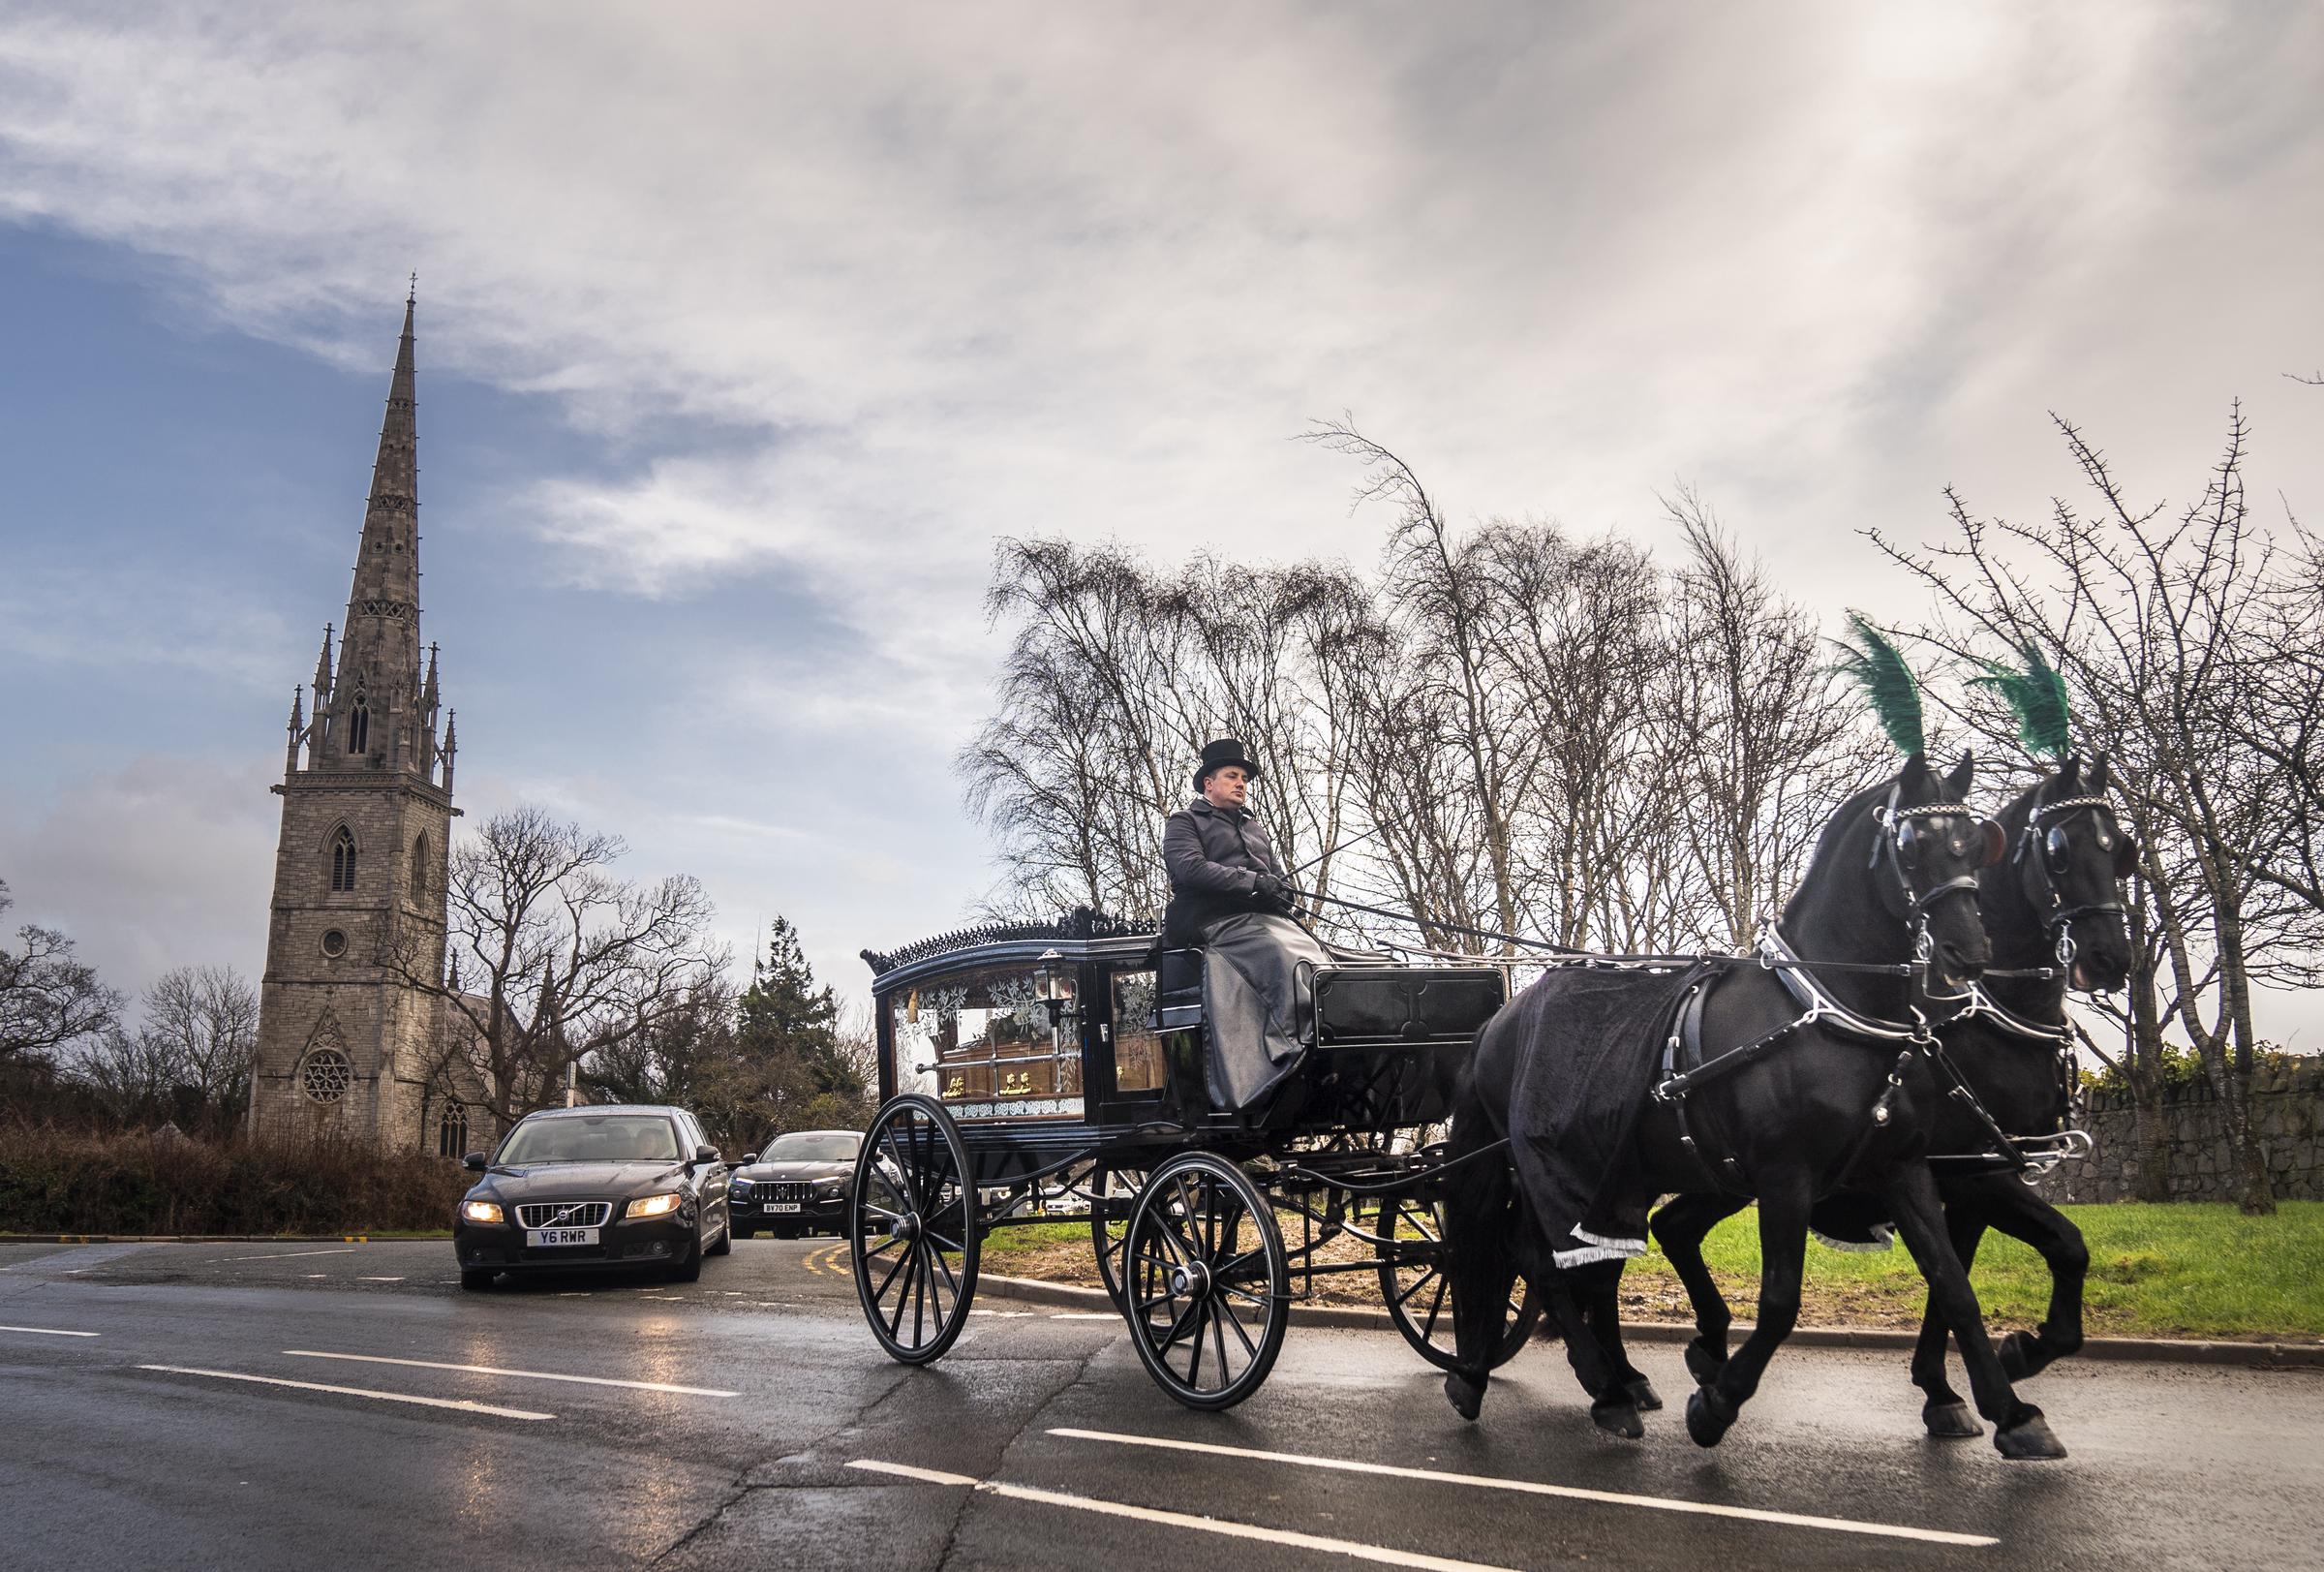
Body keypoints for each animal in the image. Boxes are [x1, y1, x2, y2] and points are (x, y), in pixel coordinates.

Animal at [1431, 753, 2072, 1460]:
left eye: (1975, 845)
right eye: (1911, 844)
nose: (1969, 952)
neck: (1828, 1013)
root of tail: (1499, 1020)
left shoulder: (1905, 1167)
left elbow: (1956, 1285)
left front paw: (2011, 1409)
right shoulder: (1791, 1175)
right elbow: (1781, 1301)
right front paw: (1717, 1404)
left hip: (1617, 1175)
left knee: (1583, 1260)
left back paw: (1584, 1380)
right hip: (1553, 1166)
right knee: (1537, 1258)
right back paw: (1585, 1384)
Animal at [1645, 753, 2128, 1441]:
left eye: (2121, 851)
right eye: (2059, 851)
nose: (2110, 956)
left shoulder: (1962, 1170)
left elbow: (1981, 1271)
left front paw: (1982, 1378)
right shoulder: (1971, 1174)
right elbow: (2033, 1254)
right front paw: (1993, 1370)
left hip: (1727, 1175)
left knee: (1671, 1225)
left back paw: (1707, 1351)